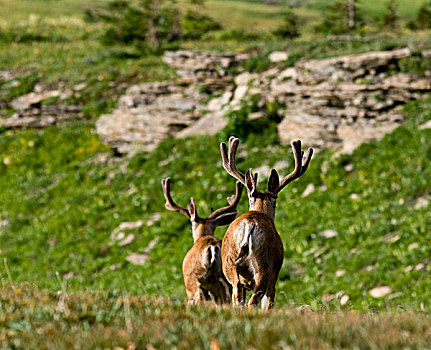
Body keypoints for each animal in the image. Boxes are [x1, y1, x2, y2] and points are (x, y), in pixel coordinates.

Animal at [219, 137, 314, 308]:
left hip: (230, 264)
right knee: (253, 302)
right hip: (264, 267)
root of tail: (249, 223)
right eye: (276, 203)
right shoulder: (274, 276)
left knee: (238, 299)